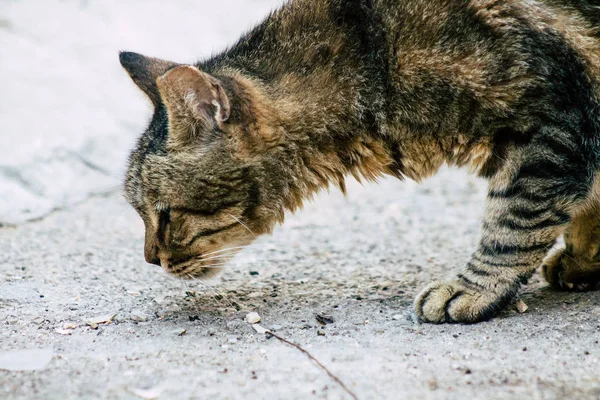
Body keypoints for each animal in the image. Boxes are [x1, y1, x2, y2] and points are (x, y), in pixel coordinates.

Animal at [119, 0, 600, 324]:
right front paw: (584, 259)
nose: (149, 260)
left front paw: (473, 289)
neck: (368, 60)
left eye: (165, 215)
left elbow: (512, 223)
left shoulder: (551, 125)